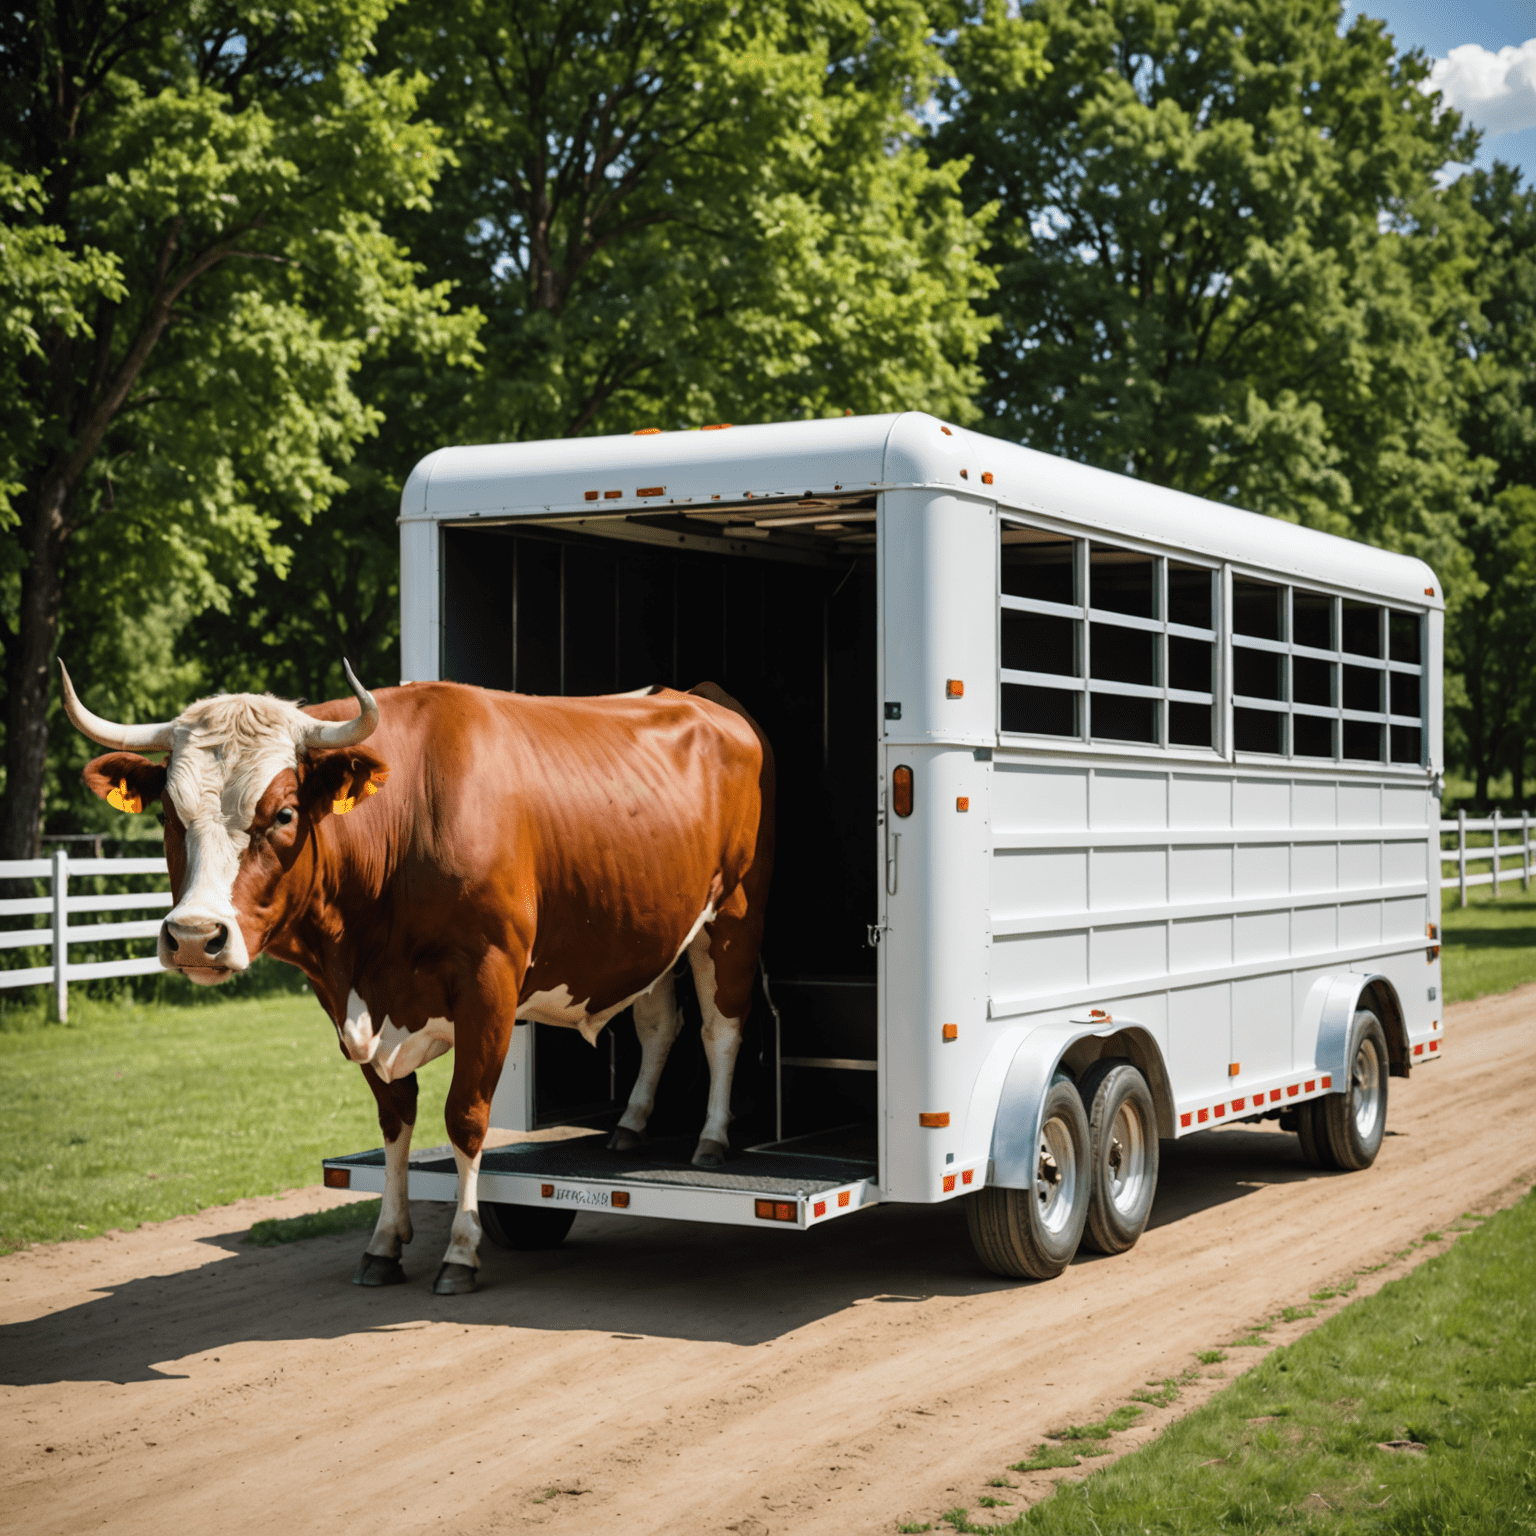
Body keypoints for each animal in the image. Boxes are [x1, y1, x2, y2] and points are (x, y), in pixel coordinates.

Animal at [61, 666, 774, 1290]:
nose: (193, 936)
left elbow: (465, 1118)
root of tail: (703, 697)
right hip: (658, 925)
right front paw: (384, 1241)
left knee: (721, 1026)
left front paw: (461, 1251)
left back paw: (711, 1138)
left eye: (285, 813)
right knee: (659, 1023)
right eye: (168, 813)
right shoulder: (348, 1002)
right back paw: (630, 1123)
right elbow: (394, 1118)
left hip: (735, 912)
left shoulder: (490, 984)